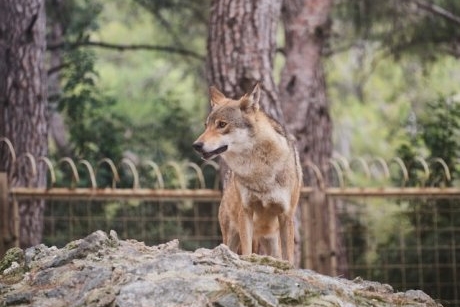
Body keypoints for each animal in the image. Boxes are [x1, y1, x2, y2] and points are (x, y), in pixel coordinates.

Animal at [193, 85, 304, 264]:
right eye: (206, 125)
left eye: (222, 124)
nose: (196, 145)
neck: (259, 170)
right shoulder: (246, 211)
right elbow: (246, 252)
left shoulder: (286, 215)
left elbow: (290, 258)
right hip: (231, 236)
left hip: (273, 243)